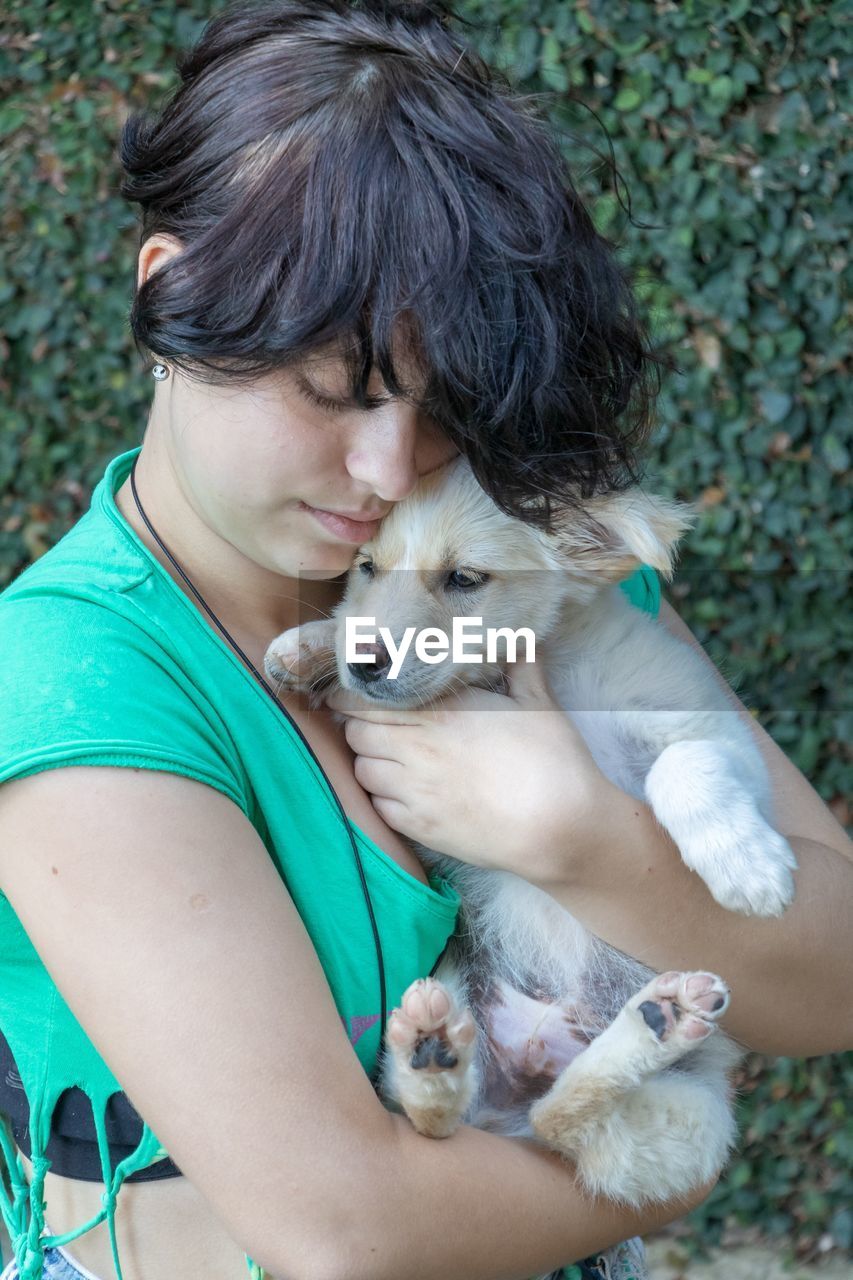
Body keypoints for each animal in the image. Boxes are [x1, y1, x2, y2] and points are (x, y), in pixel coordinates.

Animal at [262, 458, 794, 1228]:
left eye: (463, 578)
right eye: (366, 567)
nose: (363, 663)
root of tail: (523, 1073)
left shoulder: (715, 733)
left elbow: (682, 763)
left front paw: (746, 866)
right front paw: (308, 645)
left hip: (694, 1124)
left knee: (561, 1122)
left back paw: (654, 1023)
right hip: (458, 988)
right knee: (450, 1123)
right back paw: (434, 1058)